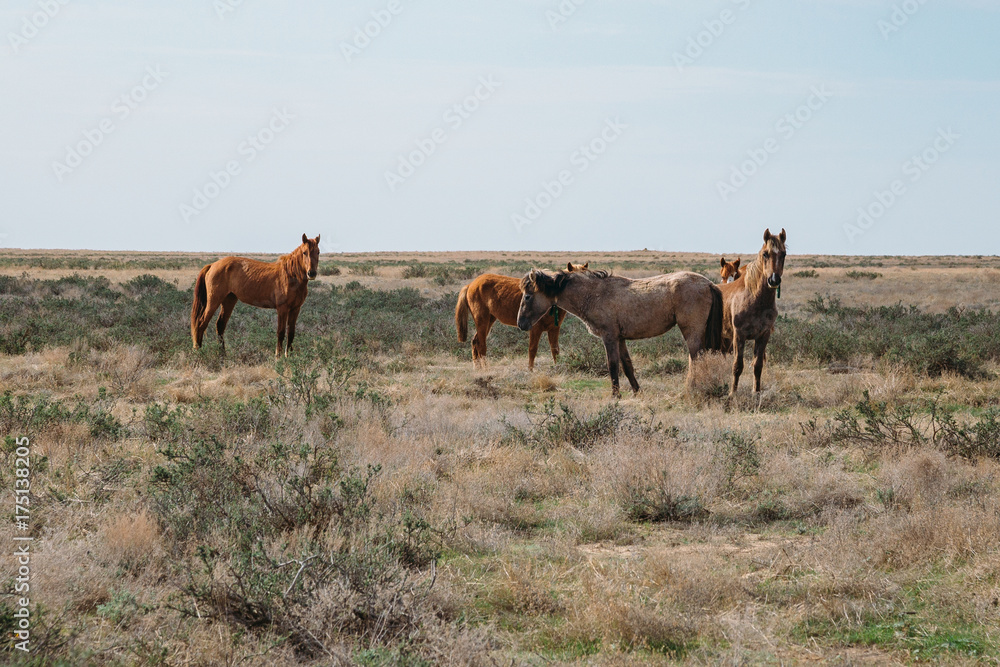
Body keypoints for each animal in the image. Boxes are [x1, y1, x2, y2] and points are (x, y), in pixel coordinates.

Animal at [191, 234, 321, 358]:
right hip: (214, 301)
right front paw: (278, 357)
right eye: (304, 252)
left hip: (229, 300)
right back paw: (199, 352)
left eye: (318, 252)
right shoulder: (282, 308)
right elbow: (281, 332)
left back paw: (222, 355)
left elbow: (291, 333)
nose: (311, 273)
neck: (291, 275)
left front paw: (289, 357)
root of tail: (212, 265)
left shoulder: (295, 309)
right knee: (201, 324)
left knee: (220, 325)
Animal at [455, 263, 588, 370]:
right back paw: (486, 369)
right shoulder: (535, 329)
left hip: (489, 320)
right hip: (482, 320)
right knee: (481, 345)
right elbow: (532, 350)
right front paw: (530, 370)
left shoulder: (554, 329)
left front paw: (557, 368)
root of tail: (471, 284)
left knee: (475, 341)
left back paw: (477, 368)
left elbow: (555, 350)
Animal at [517, 268, 724, 397]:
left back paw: (692, 390)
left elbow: (613, 365)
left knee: (696, 360)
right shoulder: (620, 339)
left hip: (691, 332)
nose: (521, 324)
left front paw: (615, 395)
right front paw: (637, 391)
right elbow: (627, 366)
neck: (595, 294)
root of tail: (708, 284)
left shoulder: (609, 337)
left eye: (527, 296)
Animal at [719, 228, 786, 396]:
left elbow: (757, 365)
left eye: (783, 254)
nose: (774, 280)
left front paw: (756, 392)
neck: (755, 299)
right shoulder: (739, 335)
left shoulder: (763, 335)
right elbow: (737, 366)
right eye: (765, 254)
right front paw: (732, 393)